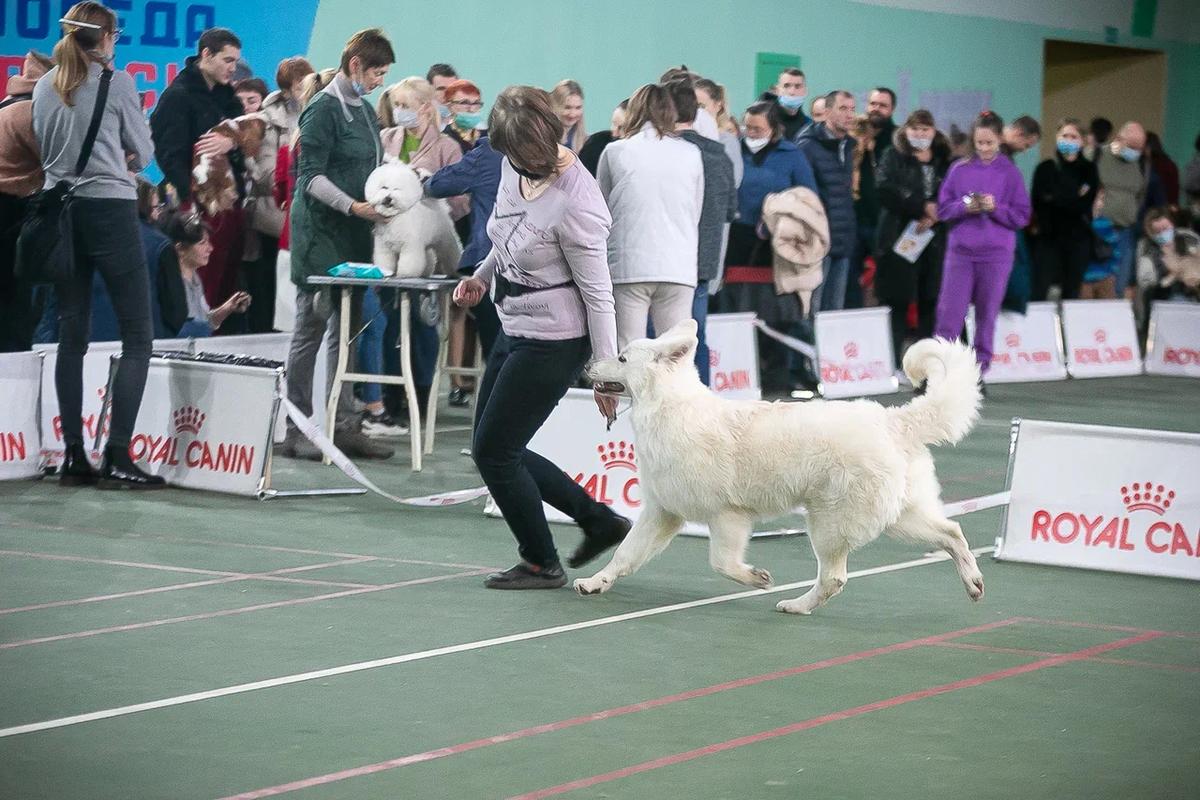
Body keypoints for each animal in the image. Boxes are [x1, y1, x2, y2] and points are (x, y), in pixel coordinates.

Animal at [578, 316, 984, 614]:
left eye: (622, 358)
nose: (586, 363)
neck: (670, 407)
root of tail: (895, 422)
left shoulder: (727, 516)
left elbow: (721, 562)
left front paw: (756, 578)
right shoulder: (662, 513)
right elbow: (625, 553)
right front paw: (595, 582)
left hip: (831, 524)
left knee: (834, 578)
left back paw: (795, 605)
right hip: (900, 516)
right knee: (952, 532)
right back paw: (973, 582)